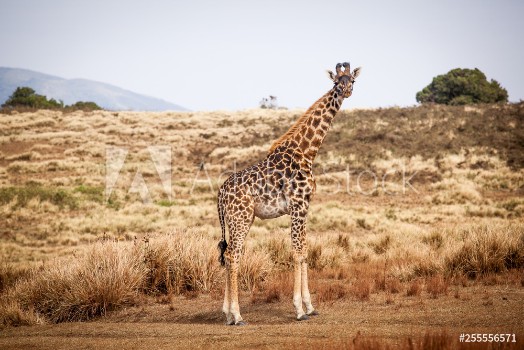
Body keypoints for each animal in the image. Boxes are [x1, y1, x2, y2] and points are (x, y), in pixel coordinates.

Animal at [217, 60, 360, 326]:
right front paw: (299, 309)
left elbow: (304, 251)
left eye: (352, 80)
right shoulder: (298, 206)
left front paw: (311, 307)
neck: (307, 152)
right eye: (336, 81)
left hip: (238, 219)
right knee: (232, 255)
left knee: (231, 255)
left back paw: (228, 314)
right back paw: (237, 315)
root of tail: (220, 194)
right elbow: (297, 252)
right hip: (241, 218)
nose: (346, 91)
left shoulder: (305, 207)